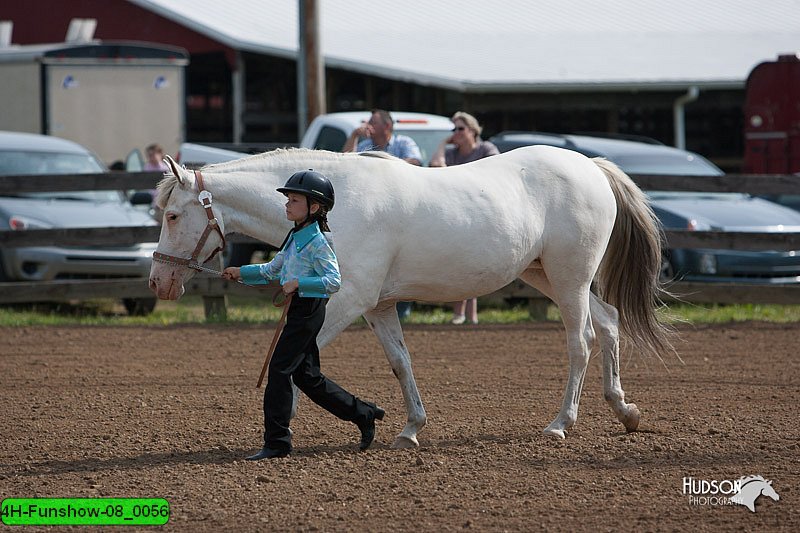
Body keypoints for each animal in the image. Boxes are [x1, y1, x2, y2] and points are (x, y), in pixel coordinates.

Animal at [148, 145, 668, 444]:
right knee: (610, 322)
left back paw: (561, 424)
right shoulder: (378, 306)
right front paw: (410, 429)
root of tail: (590, 167)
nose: (158, 282)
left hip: (569, 279)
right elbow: (401, 363)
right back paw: (625, 411)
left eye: (172, 215)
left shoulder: (347, 301)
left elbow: (292, 361)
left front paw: (281, 428)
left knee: (582, 342)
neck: (336, 208)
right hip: (548, 276)